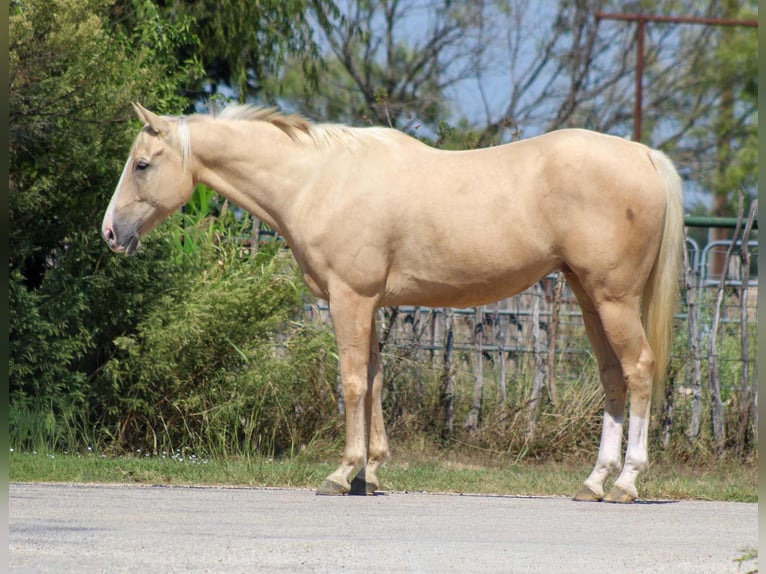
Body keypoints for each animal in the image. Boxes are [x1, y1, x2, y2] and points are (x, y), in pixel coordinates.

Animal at [102, 103, 683, 503]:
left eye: (142, 164)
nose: (110, 233)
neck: (318, 179)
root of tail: (643, 155)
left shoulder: (349, 298)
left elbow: (353, 382)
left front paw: (342, 473)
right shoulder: (371, 303)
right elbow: (377, 381)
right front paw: (373, 472)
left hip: (613, 299)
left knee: (638, 370)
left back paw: (628, 481)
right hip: (589, 299)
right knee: (612, 378)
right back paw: (594, 481)